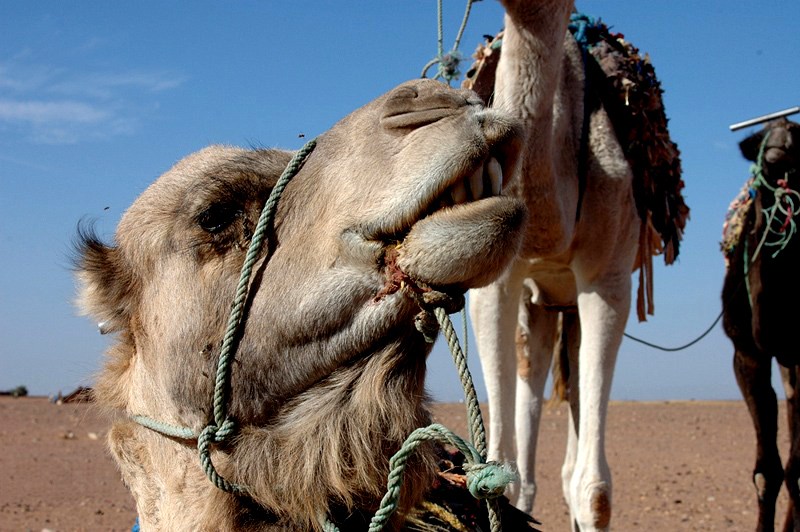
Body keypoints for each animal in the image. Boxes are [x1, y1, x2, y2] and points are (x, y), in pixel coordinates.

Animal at [468, 2, 688, 528]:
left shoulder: (608, 280)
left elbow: (594, 491)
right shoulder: (495, 286)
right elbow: (500, 478)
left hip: (574, 304)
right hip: (542, 309)